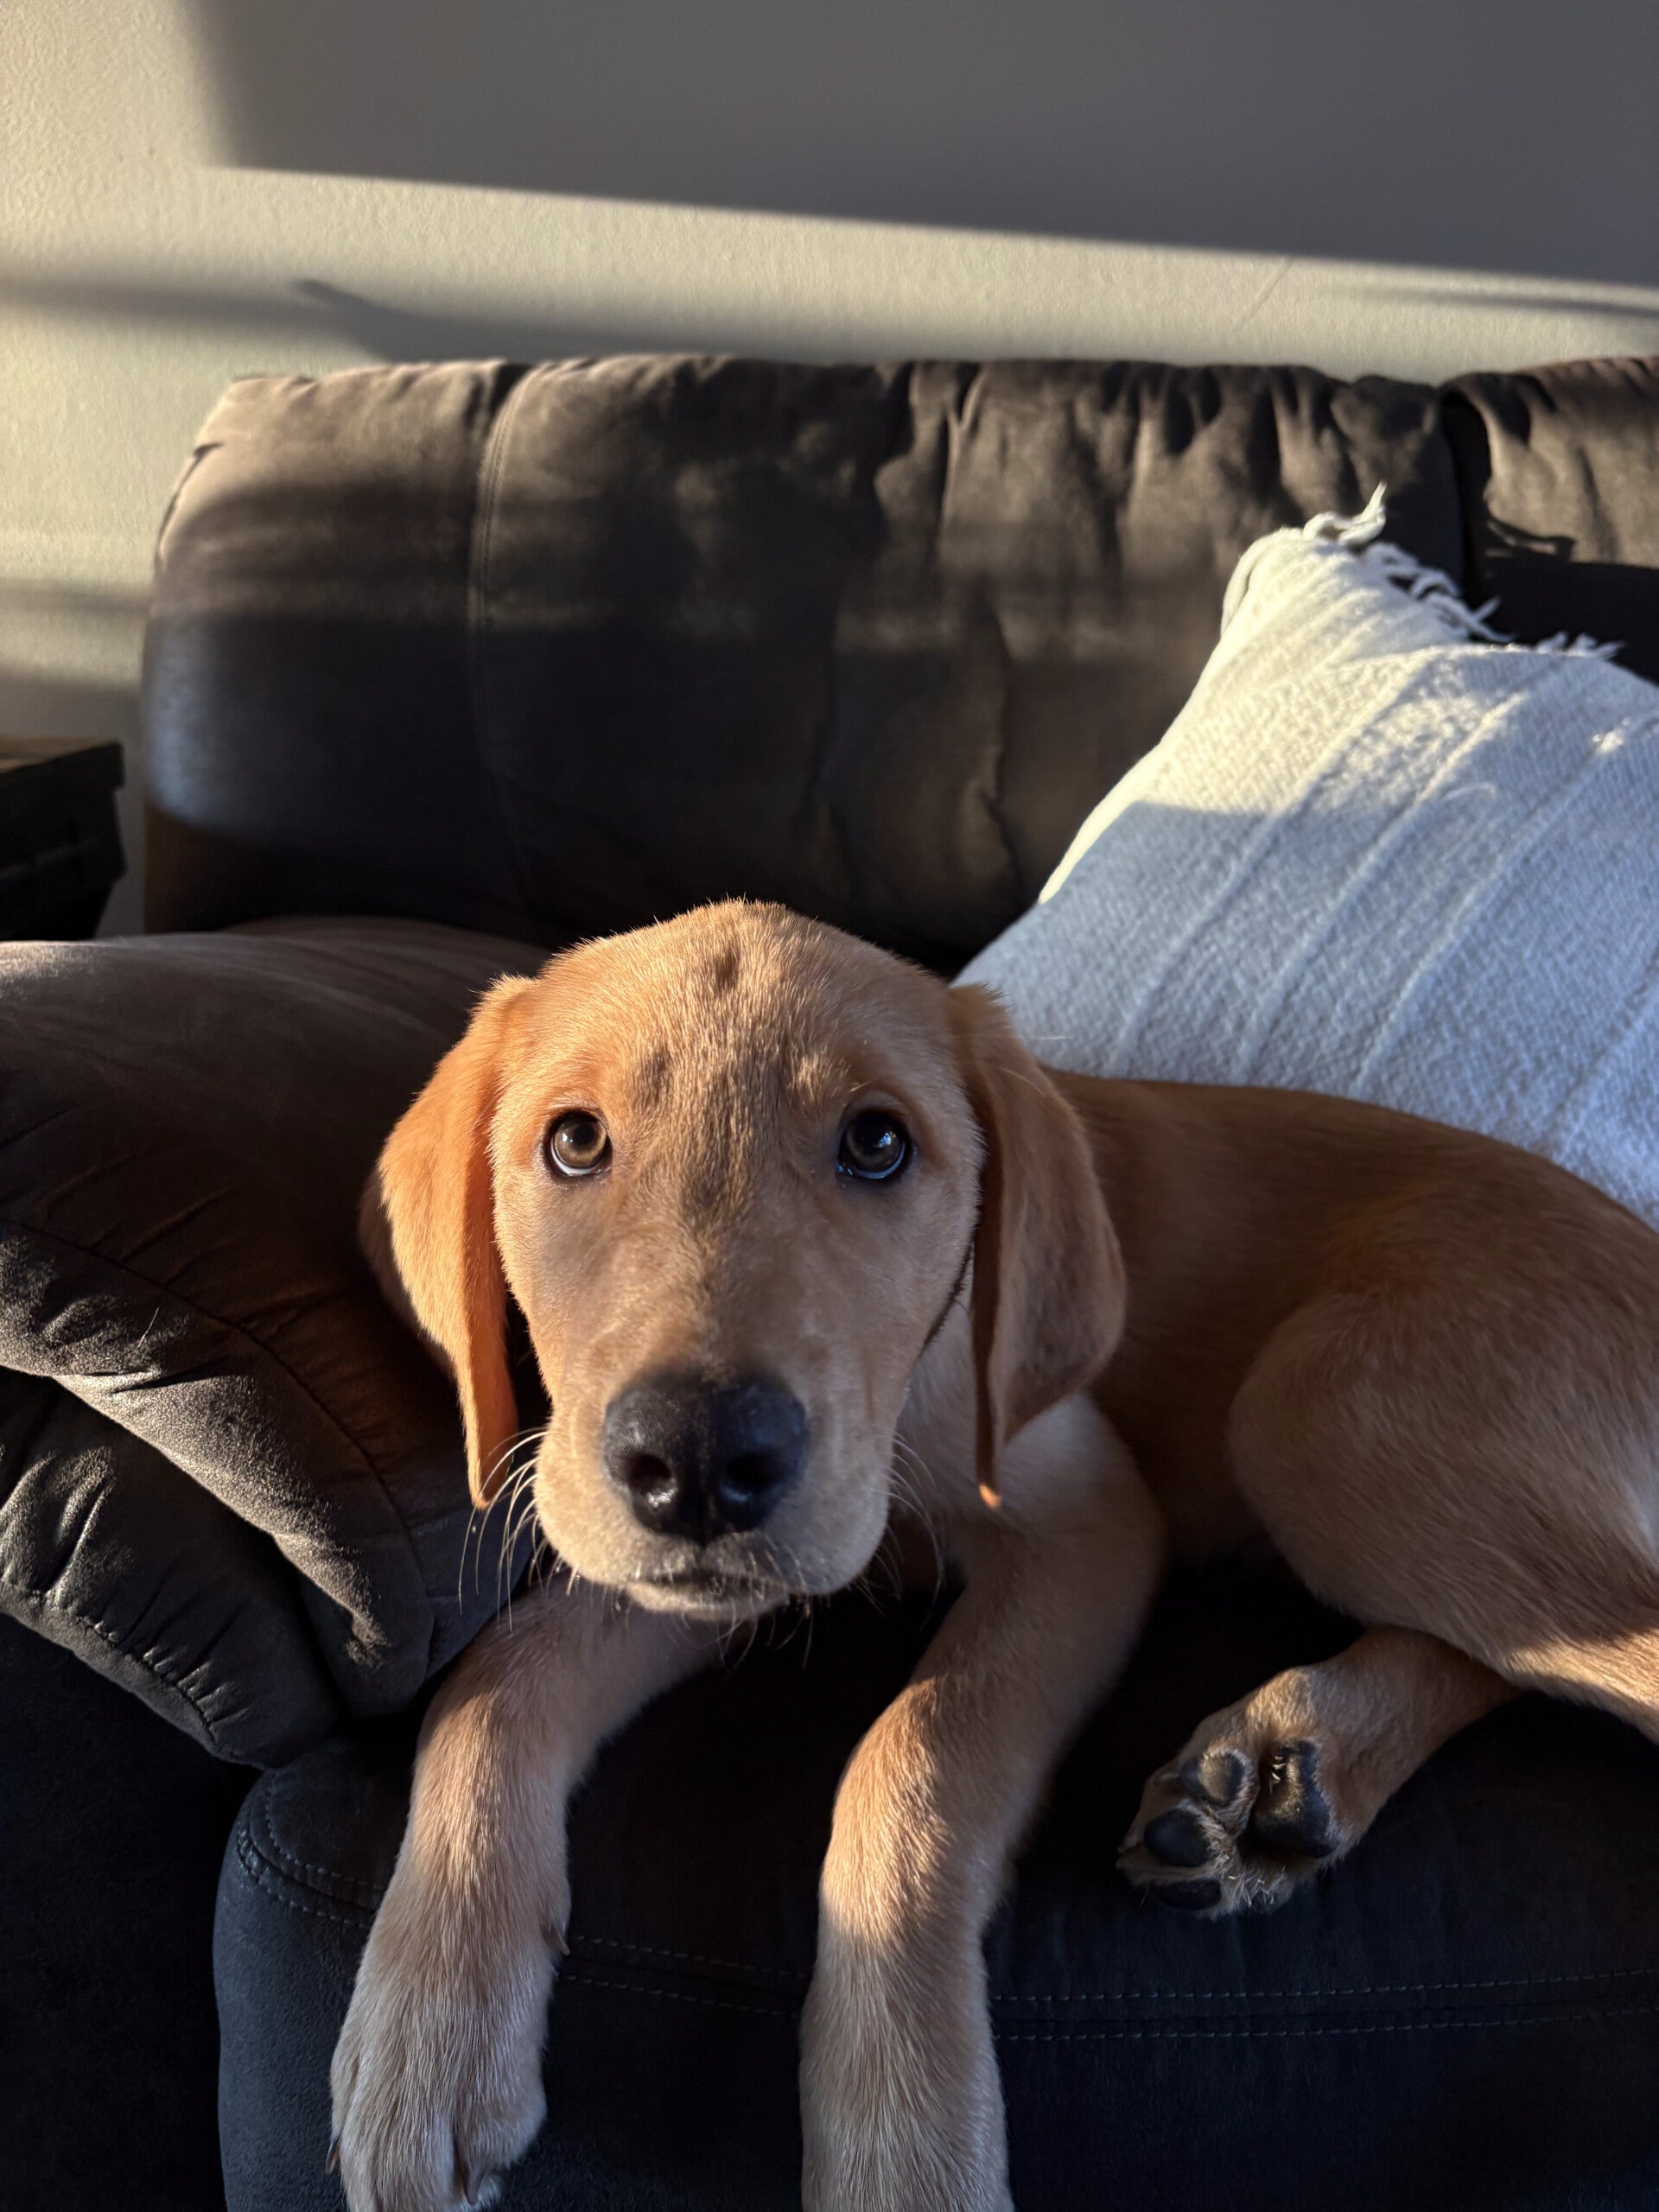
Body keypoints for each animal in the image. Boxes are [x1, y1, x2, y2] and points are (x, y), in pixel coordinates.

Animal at [330, 897, 1659, 2212]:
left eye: (878, 1143)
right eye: (574, 1142)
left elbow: (915, 1753)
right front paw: (431, 2027)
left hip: (1320, 1405)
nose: (699, 1458)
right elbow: (494, 1682)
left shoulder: (1087, 1523)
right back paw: (1293, 1771)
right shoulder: (680, 1567)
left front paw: (905, 2123)